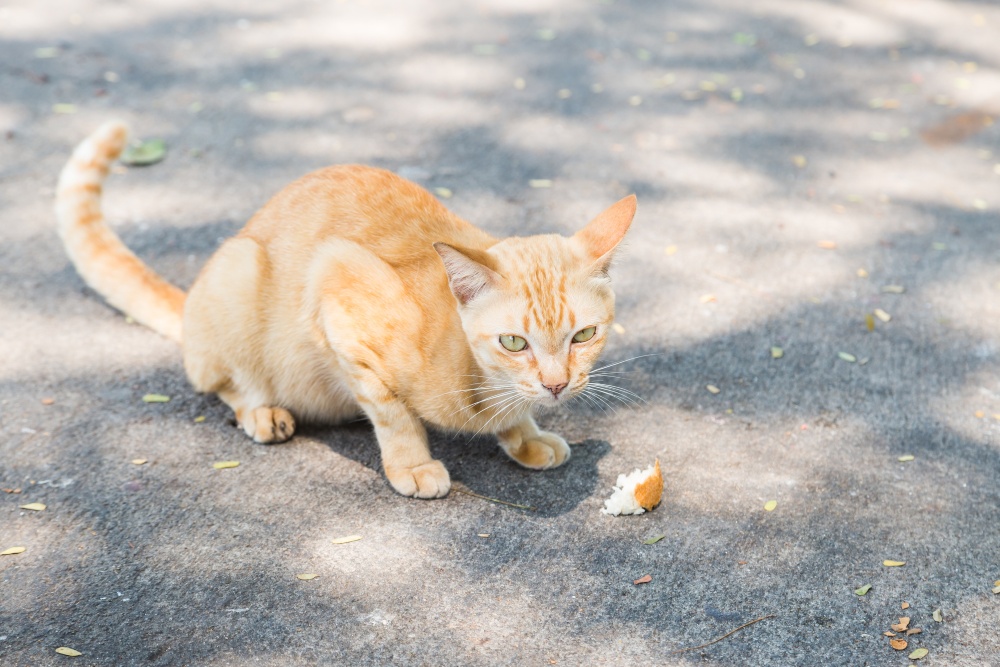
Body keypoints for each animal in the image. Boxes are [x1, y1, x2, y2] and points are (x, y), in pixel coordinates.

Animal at [54, 121, 636, 496]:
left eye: (584, 335)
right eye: (514, 342)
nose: (556, 385)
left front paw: (527, 437)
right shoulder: (336, 284)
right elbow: (393, 413)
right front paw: (413, 465)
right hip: (238, 274)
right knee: (223, 382)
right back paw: (262, 411)